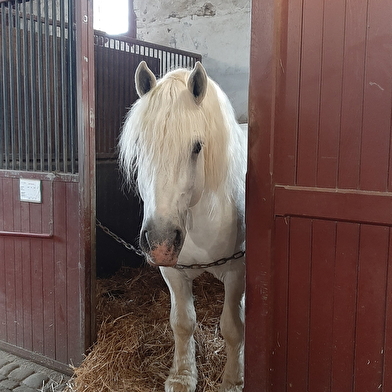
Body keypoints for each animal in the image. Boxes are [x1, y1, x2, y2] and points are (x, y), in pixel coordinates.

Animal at [119, 60, 247, 392]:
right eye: (139, 146)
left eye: (197, 147)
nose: (161, 241)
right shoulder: (173, 272)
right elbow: (182, 323)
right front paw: (182, 376)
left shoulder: (236, 271)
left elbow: (232, 326)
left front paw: (233, 379)